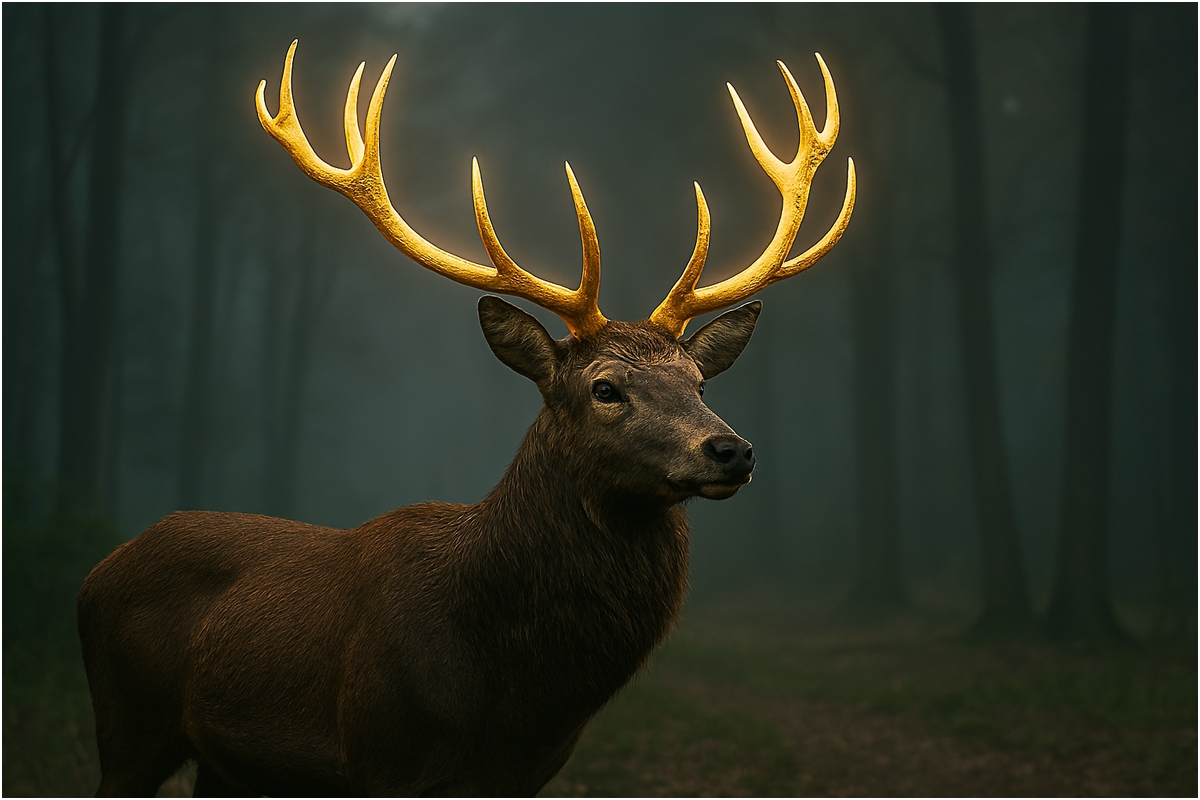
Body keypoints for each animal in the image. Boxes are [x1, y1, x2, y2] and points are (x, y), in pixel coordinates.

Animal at [77, 40, 855, 797]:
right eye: (605, 388)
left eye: (698, 381)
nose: (732, 450)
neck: (506, 687)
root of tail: (95, 575)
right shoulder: (382, 754)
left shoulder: (524, 773)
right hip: (127, 725)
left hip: (230, 765)